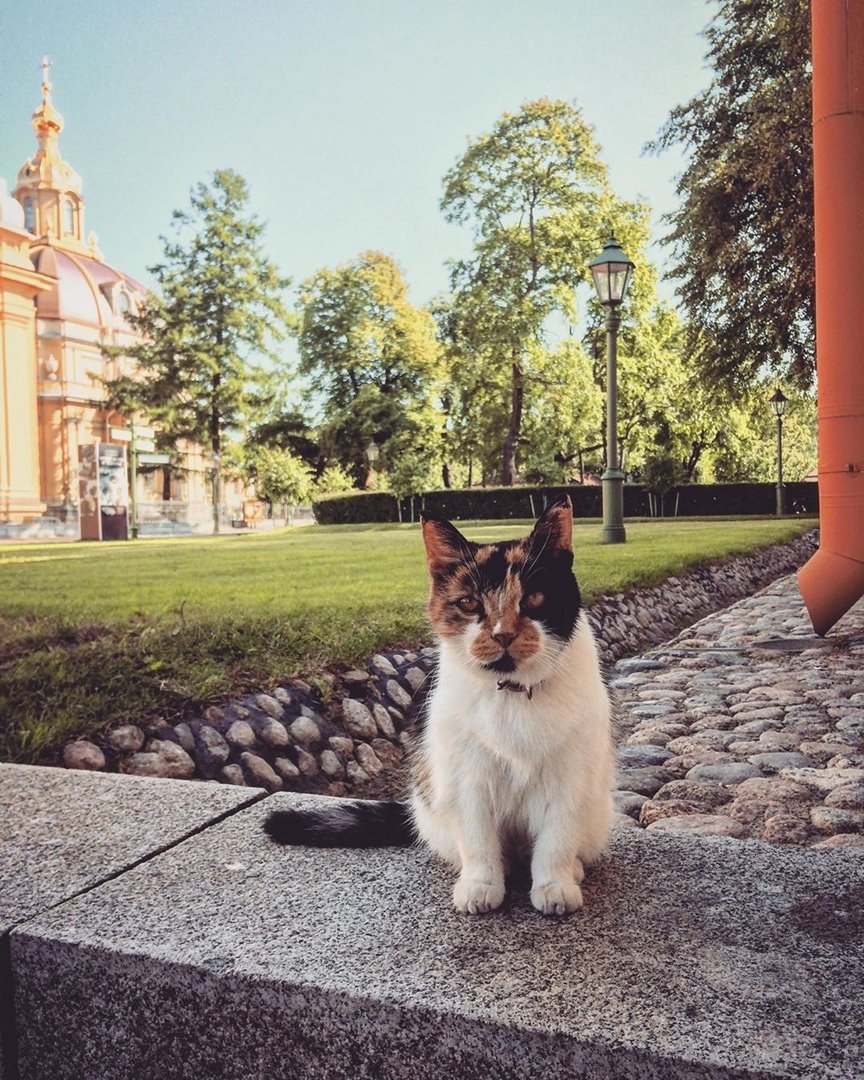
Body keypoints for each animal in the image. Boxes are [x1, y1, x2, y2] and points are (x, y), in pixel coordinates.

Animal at [263, 494, 613, 911]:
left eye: (534, 598)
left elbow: (556, 840)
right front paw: (480, 885)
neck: (511, 695)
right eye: (469, 603)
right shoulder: (466, 778)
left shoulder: (569, 778)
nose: (503, 635)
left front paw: (554, 886)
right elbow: (477, 841)